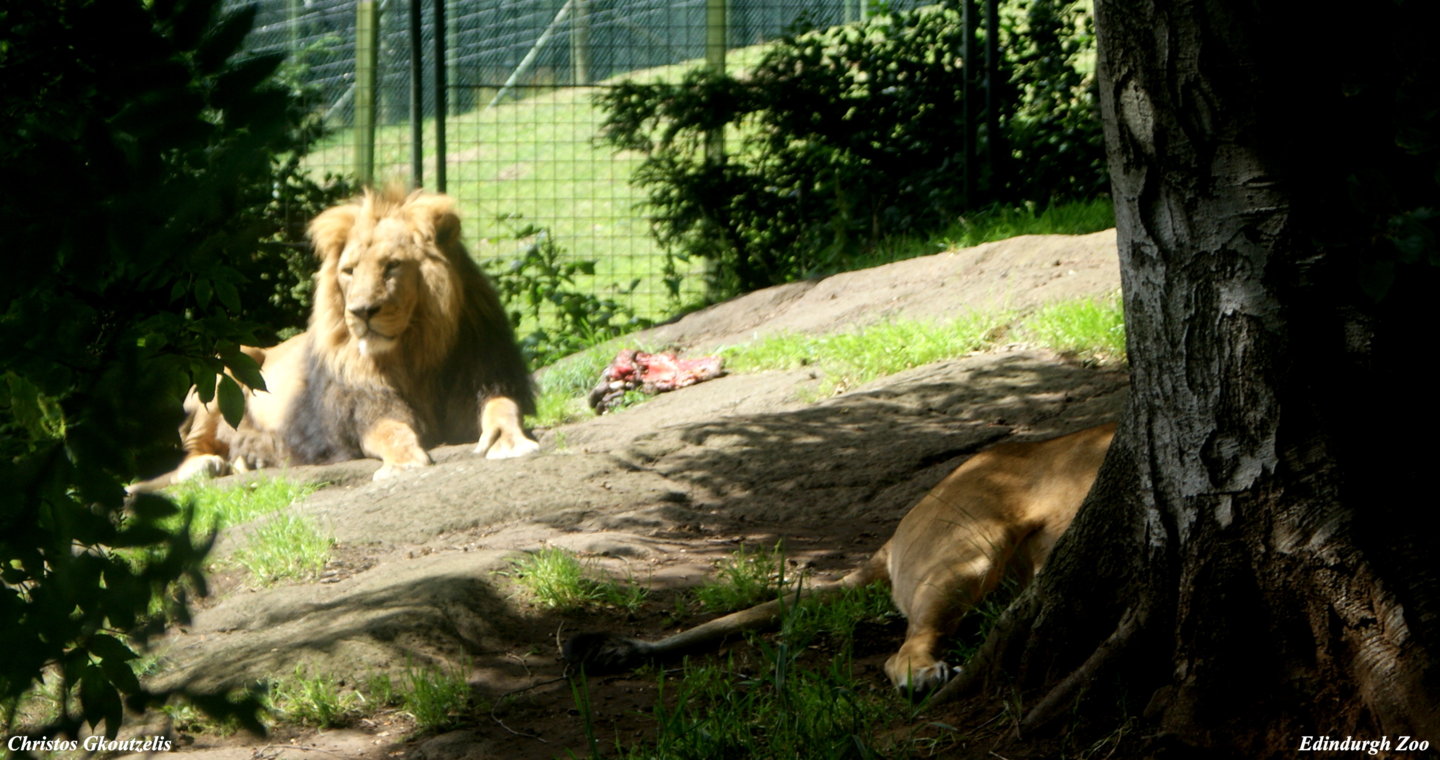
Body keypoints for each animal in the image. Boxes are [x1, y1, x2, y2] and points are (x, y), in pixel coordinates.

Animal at [154, 187, 541, 483]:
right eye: (350, 271)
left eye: (391, 266)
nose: (360, 311)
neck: (413, 353)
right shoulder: (362, 409)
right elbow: (389, 431)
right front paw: (403, 464)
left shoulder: (485, 377)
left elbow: (503, 406)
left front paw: (508, 440)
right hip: (229, 363)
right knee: (189, 451)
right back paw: (209, 464)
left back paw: (252, 456)